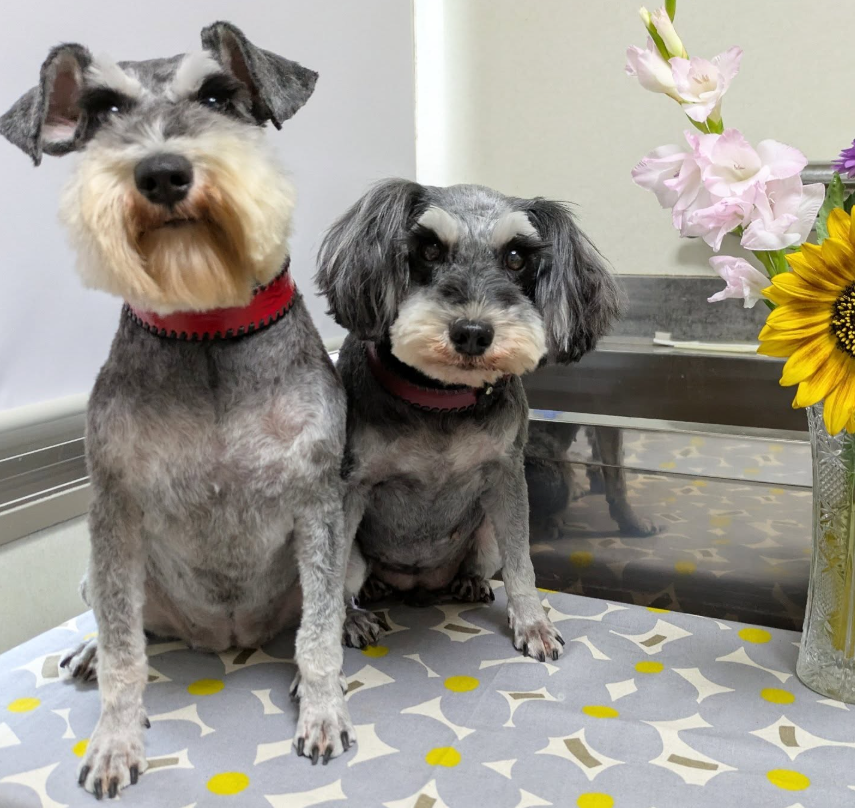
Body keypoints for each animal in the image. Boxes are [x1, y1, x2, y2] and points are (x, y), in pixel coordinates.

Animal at [1, 22, 354, 798]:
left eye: (218, 95)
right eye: (102, 109)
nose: (162, 173)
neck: (207, 331)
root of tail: (226, 640)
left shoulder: (318, 502)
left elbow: (318, 636)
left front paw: (321, 711)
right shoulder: (113, 511)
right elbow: (125, 649)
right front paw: (113, 740)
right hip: (103, 574)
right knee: (125, 623)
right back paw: (88, 655)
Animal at [315, 180, 621, 661]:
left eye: (516, 257)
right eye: (429, 249)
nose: (473, 333)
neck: (441, 399)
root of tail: (417, 584)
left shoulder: (507, 477)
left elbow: (521, 564)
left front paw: (533, 623)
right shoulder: (352, 486)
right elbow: (333, 573)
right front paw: (342, 622)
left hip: (486, 536)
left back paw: (469, 582)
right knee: (354, 576)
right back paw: (364, 603)